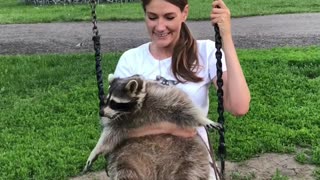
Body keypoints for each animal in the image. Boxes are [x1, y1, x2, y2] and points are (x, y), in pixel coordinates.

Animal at [81, 74, 221, 179]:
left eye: (114, 103)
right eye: (106, 100)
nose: (101, 113)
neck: (136, 109)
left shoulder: (161, 95)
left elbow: (185, 107)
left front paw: (202, 118)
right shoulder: (120, 120)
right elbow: (109, 135)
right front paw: (96, 150)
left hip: (191, 153)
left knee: (190, 171)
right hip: (128, 156)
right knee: (125, 170)